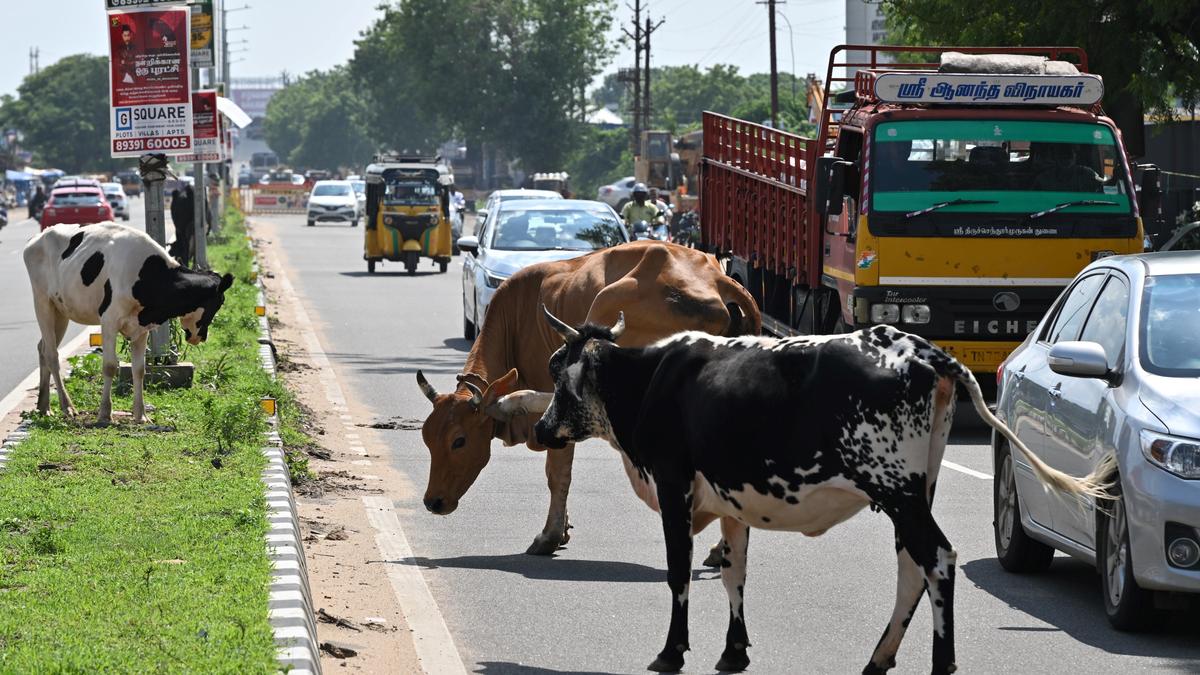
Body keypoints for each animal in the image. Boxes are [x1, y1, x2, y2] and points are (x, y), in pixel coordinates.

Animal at [23, 222, 234, 425]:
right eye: (220, 302)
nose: (201, 336)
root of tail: (39, 236)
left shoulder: (141, 329)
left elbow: (139, 370)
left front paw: (141, 415)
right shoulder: (108, 321)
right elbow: (110, 366)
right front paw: (105, 414)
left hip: (61, 311)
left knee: (43, 348)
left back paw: (44, 406)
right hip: (42, 301)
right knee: (52, 354)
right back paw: (67, 407)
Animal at [414, 240, 760, 556]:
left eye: (459, 441)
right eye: (427, 439)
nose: (433, 501)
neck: (516, 321)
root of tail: (720, 280)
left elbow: (557, 475)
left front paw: (549, 536)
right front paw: (562, 529)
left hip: (609, 313)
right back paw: (721, 550)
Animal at [532, 311, 1116, 673]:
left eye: (558, 373)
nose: (540, 429)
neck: (652, 380)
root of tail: (916, 348)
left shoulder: (674, 487)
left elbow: (680, 574)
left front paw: (672, 653)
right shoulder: (731, 500)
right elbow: (734, 573)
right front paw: (734, 652)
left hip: (897, 490)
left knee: (938, 559)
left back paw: (940, 663)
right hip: (916, 492)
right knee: (912, 566)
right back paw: (878, 658)